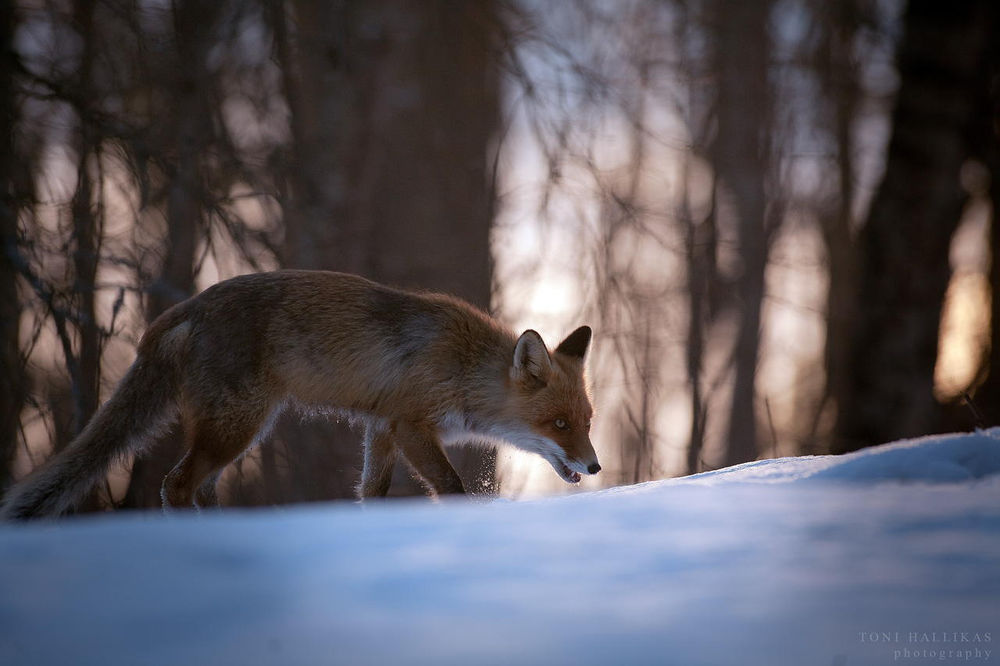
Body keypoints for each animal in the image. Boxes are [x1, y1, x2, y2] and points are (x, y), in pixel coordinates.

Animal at [0, 270, 600, 519]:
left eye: (588, 422)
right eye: (559, 424)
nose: (595, 466)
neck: (463, 367)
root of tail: (181, 311)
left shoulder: (381, 428)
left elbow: (371, 492)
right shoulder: (411, 424)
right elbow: (451, 486)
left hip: (236, 432)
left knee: (198, 488)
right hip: (237, 427)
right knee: (176, 484)